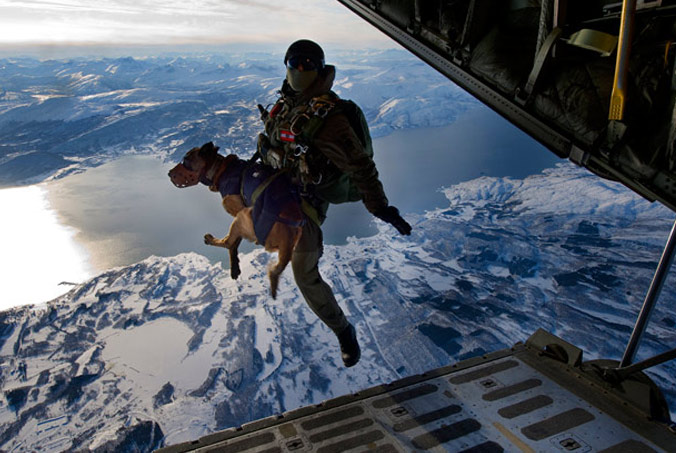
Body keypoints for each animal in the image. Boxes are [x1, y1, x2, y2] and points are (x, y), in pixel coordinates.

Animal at [169, 141, 304, 296]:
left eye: (186, 160)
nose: (168, 173)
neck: (222, 171)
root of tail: (288, 241)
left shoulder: (239, 212)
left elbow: (232, 243)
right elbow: (235, 243)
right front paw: (235, 266)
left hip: (241, 218)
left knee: (227, 242)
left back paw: (210, 239)